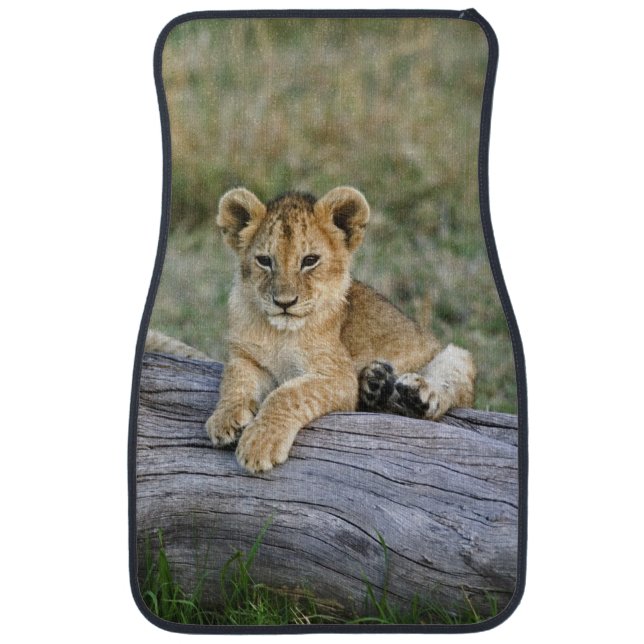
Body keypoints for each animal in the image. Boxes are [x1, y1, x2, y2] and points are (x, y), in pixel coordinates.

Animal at [205, 186, 476, 473]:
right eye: (265, 261)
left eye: (310, 260)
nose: (284, 303)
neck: (279, 332)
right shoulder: (245, 357)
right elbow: (234, 380)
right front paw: (224, 419)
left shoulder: (338, 376)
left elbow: (288, 394)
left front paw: (260, 443)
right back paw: (376, 382)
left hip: (454, 355)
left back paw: (414, 394)